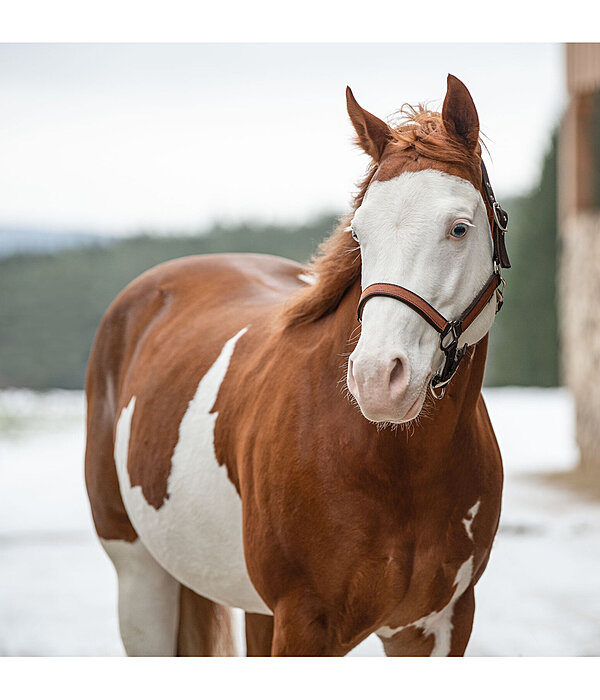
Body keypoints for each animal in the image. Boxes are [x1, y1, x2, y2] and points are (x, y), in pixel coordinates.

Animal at [83, 76, 506, 656]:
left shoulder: (437, 625)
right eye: (359, 233)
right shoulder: (304, 624)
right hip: (141, 580)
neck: (396, 466)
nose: (377, 379)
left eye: (459, 229)